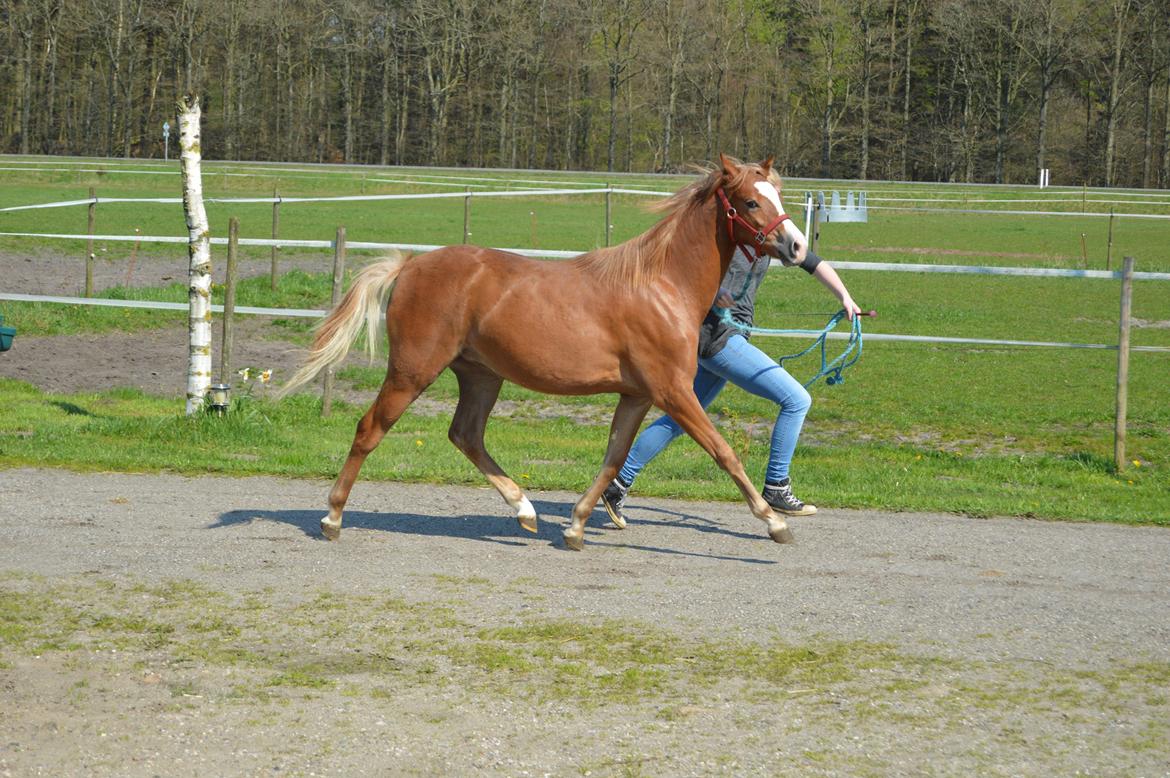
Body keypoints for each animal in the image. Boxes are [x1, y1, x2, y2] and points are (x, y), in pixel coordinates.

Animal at [279, 154, 809, 550]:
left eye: (778, 196)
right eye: (750, 201)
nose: (797, 246)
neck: (661, 286)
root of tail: (410, 265)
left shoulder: (637, 396)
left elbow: (614, 456)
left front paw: (575, 526)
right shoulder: (673, 391)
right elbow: (724, 452)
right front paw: (774, 521)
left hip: (481, 375)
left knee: (465, 435)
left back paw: (525, 509)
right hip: (413, 371)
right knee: (370, 429)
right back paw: (332, 517)